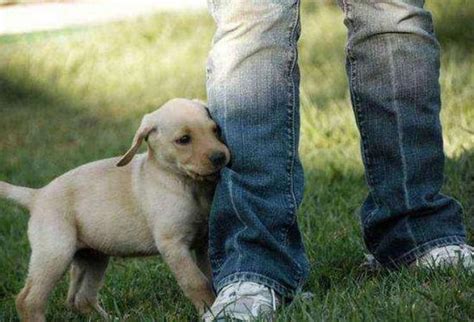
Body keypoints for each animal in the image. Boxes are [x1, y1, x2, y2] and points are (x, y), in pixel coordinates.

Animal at [0, 98, 230, 322]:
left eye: (215, 130)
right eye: (183, 139)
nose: (220, 157)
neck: (185, 183)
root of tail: (37, 195)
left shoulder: (204, 241)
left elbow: (211, 275)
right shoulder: (173, 245)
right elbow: (197, 281)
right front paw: (210, 310)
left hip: (93, 257)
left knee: (80, 298)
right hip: (55, 252)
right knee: (28, 300)